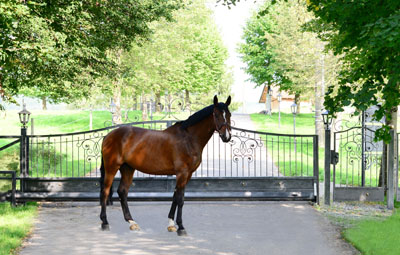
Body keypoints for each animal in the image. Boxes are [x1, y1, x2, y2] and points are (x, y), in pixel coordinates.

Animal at [98, 96, 233, 237]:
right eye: (216, 114)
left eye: (229, 114)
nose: (226, 136)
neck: (188, 139)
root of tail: (108, 136)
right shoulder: (182, 173)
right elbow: (180, 199)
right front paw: (181, 227)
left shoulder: (187, 175)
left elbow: (175, 197)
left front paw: (171, 225)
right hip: (112, 167)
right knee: (105, 191)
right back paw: (105, 222)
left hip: (127, 168)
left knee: (122, 191)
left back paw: (132, 222)